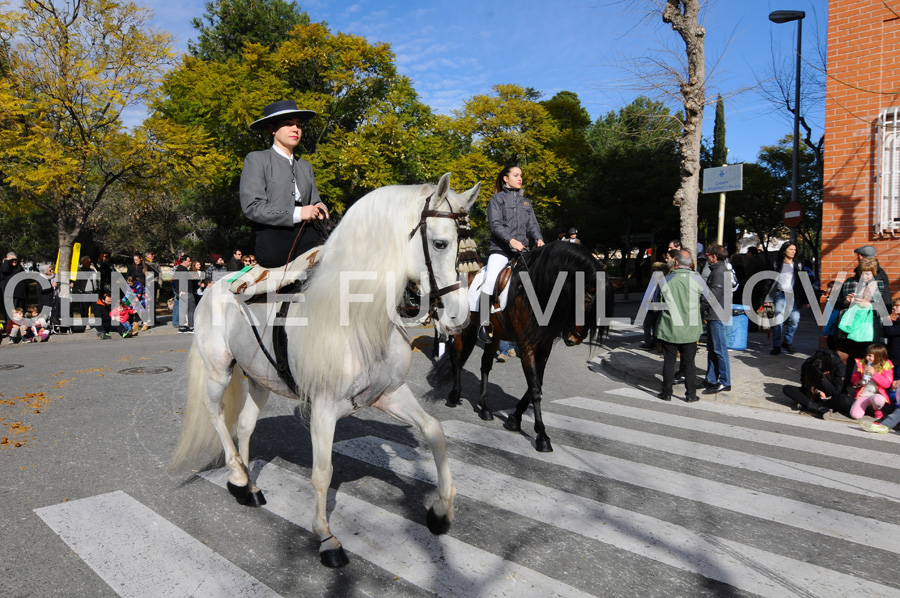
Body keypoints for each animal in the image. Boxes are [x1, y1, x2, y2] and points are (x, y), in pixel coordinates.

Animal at [170, 175, 478, 572]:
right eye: (440, 243)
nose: (460, 318)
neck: (359, 316)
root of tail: (217, 284)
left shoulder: (390, 393)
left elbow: (435, 432)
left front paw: (441, 510)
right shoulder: (323, 408)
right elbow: (322, 472)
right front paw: (326, 537)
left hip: (259, 381)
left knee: (245, 426)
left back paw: (251, 488)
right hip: (218, 372)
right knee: (217, 415)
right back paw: (238, 476)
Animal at [428, 241, 612, 452]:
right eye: (587, 301)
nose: (574, 339)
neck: (538, 290)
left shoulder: (544, 347)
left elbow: (536, 384)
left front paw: (514, 419)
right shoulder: (527, 346)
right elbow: (534, 389)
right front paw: (542, 436)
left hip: (493, 335)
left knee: (485, 365)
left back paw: (485, 408)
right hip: (463, 328)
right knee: (457, 357)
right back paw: (454, 395)